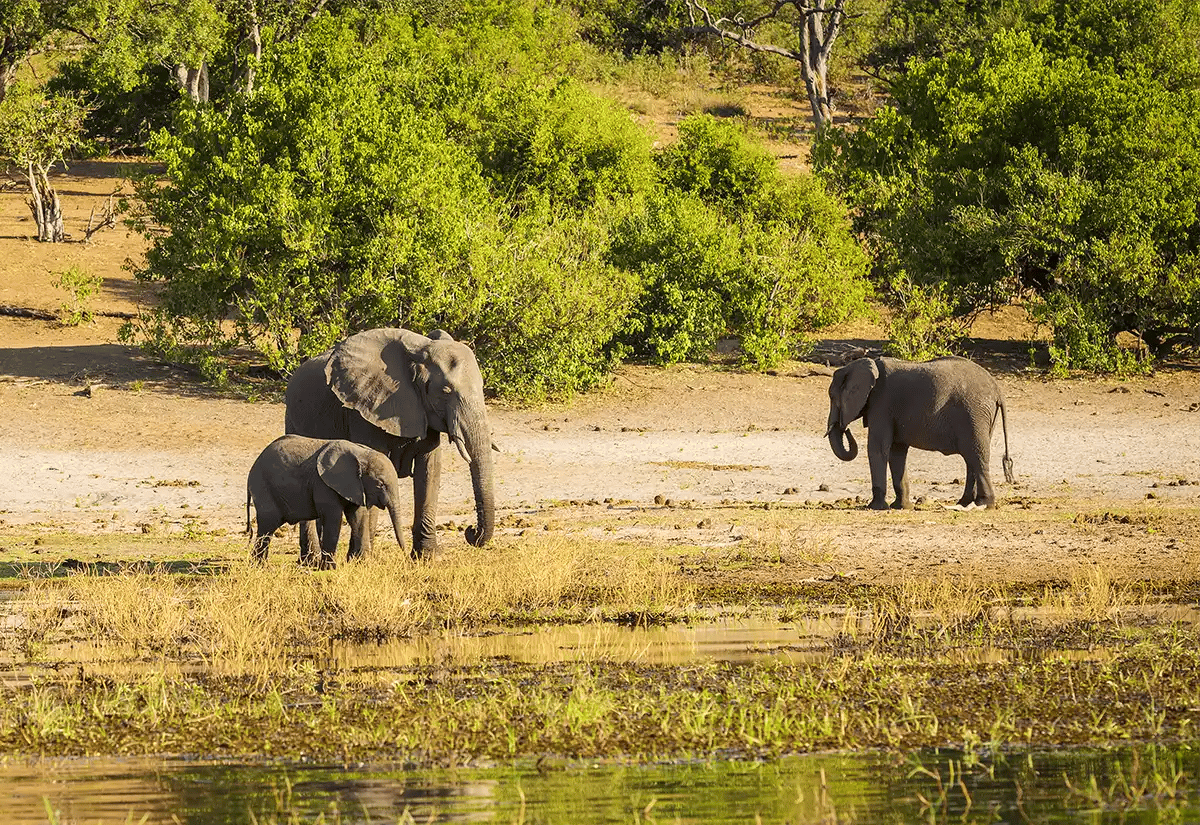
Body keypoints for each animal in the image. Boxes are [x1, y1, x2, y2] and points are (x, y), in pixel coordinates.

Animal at [246, 435, 408, 569]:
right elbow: (333, 518)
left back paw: (259, 565)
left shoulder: (356, 486)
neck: (361, 453)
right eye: (380, 484)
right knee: (267, 526)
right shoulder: (323, 484)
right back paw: (260, 567)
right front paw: (330, 569)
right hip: (264, 488)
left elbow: (358, 517)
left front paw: (363, 565)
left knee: (267, 528)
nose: (406, 556)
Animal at [284, 327, 495, 560]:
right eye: (445, 391)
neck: (419, 351)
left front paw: (428, 558)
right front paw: (362, 560)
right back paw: (311, 560)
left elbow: (429, 470)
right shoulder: (363, 409)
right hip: (292, 419)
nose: (470, 531)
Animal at [826, 355, 1014, 510]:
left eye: (832, 397)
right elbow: (897, 452)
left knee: (976, 455)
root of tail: (997, 389)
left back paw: (984, 504)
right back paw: (964, 503)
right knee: (972, 458)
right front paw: (901, 507)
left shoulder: (882, 404)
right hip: (982, 416)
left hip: (974, 413)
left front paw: (875, 507)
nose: (845, 428)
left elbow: (877, 448)